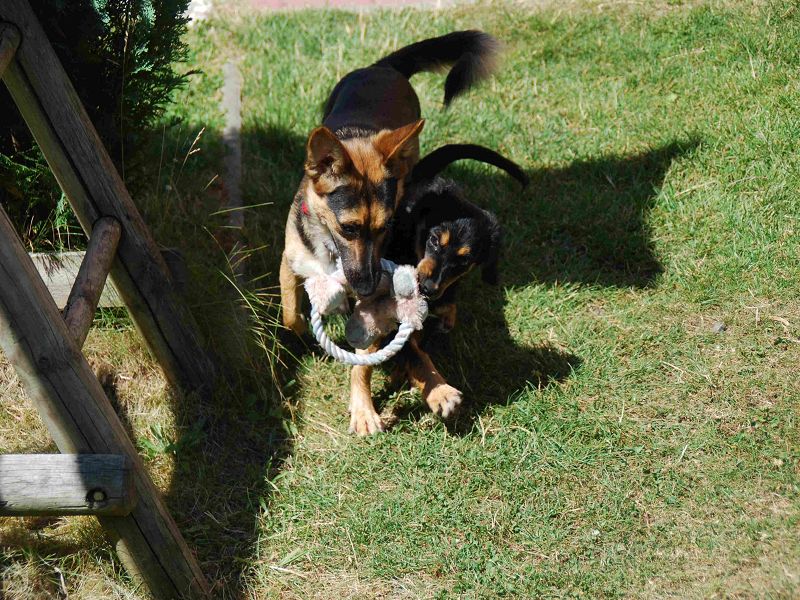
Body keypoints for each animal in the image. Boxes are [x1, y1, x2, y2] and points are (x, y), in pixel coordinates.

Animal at [279, 31, 500, 434]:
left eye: (385, 227)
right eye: (348, 228)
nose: (366, 287)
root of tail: (382, 67)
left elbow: (364, 361)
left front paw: (365, 409)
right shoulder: (290, 260)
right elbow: (290, 311)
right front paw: (302, 330)